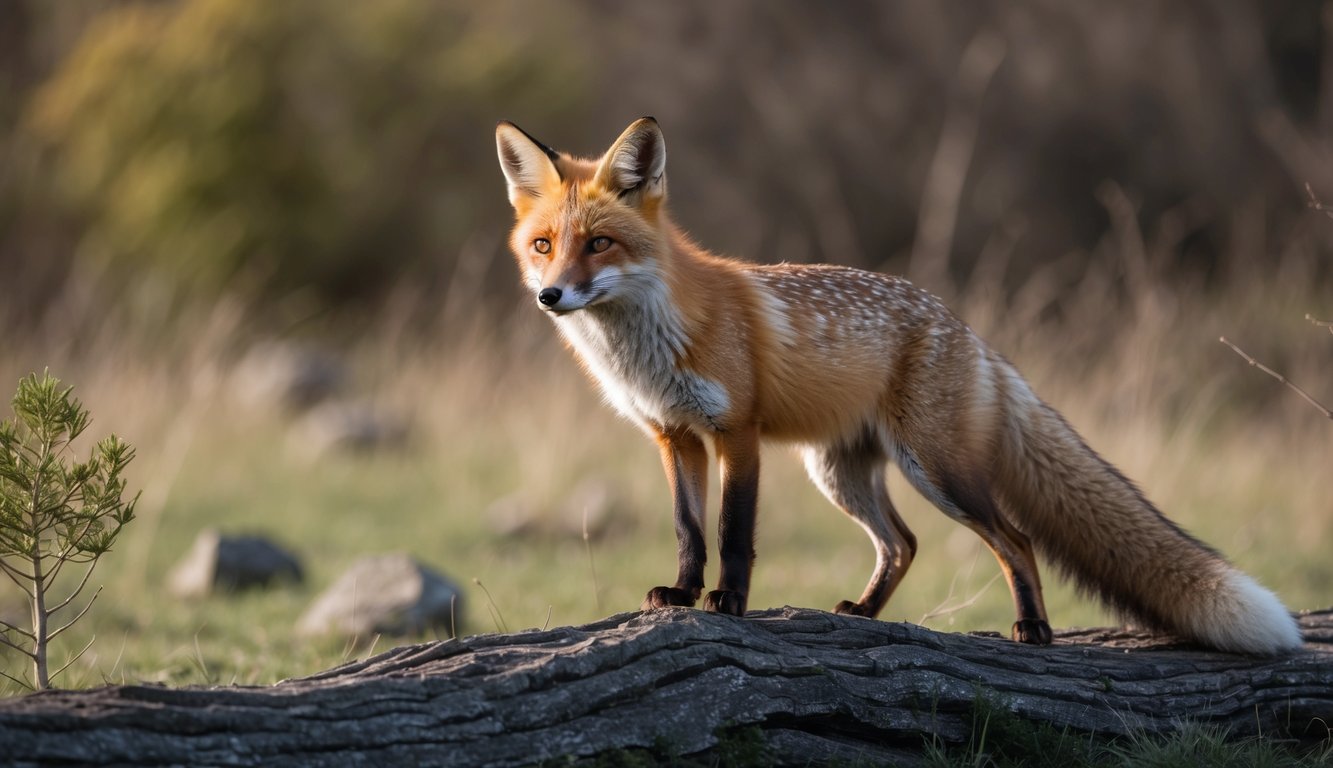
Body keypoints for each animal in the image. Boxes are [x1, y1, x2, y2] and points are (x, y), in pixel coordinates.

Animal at [494, 116, 1302, 655]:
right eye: (543, 246)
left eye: (600, 244)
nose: (551, 296)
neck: (648, 343)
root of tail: (971, 333)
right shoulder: (673, 435)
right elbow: (688, 531)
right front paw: (683, 595)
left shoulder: (737, 433)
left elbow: (733, 533)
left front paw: (729, 602)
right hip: (842, 473)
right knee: (904, 543)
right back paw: (863, 612)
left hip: (937, 472)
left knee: (1014, 540)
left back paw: (1033, 627)